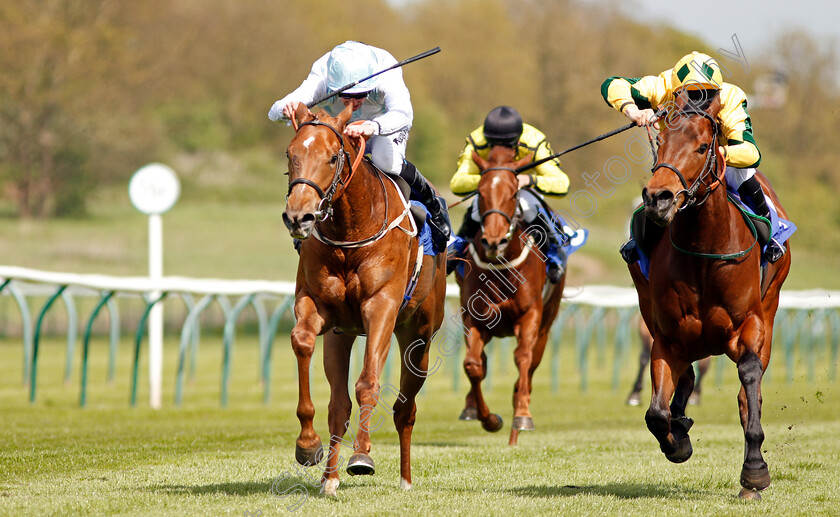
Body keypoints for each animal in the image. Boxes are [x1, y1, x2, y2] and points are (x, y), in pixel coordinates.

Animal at [282, 103, 450, 494]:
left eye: (332, 157)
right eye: (290, 154)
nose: (299, 216)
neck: (350, 231)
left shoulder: (381, 308)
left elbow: (369, 383)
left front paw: (361, 455)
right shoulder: (319, 308)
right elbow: (302, 342)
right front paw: (307, 445)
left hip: (418, 338)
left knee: (405, 409)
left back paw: (405, 478)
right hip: (341, 338)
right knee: (339, 407)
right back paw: (329, 478)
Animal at [452, 147, 564, 446]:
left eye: (514, 193)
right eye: (480, 192)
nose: (493, 241)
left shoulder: (530, 315)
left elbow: (522, 358)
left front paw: (522, 416)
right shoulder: (474, 316)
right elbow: (473, 365)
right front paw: (488, 418)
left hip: (546, 325)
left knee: (530, 365)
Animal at [632, 90, 792, 498]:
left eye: (703, 146)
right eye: (660, 142)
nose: (658, 197)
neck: (704, 249)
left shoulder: (749, 324)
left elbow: (749, 379)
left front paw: (755, 471)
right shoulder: (667, 337)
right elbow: (656, 414)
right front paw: (678, 442)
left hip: (770, 307)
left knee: (747, 390)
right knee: (685, 377)